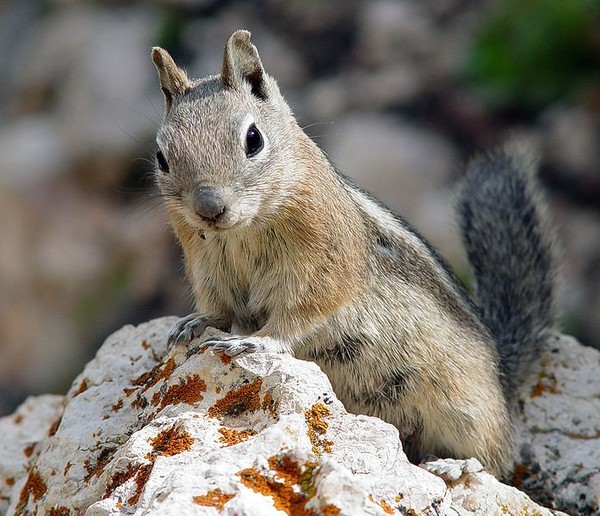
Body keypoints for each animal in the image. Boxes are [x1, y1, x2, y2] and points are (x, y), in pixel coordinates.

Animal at [151, 30, 556, 478]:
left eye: (253, 140)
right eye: (162, 157)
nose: (209, 207)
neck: (243, 231)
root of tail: (504, 377)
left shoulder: (325, 265)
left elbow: (301, 313)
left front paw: (259, 342)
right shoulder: (206, 267)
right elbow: (219, 309)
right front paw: (196, 322)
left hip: (466, 410)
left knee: (496, 458)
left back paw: (455, 465)